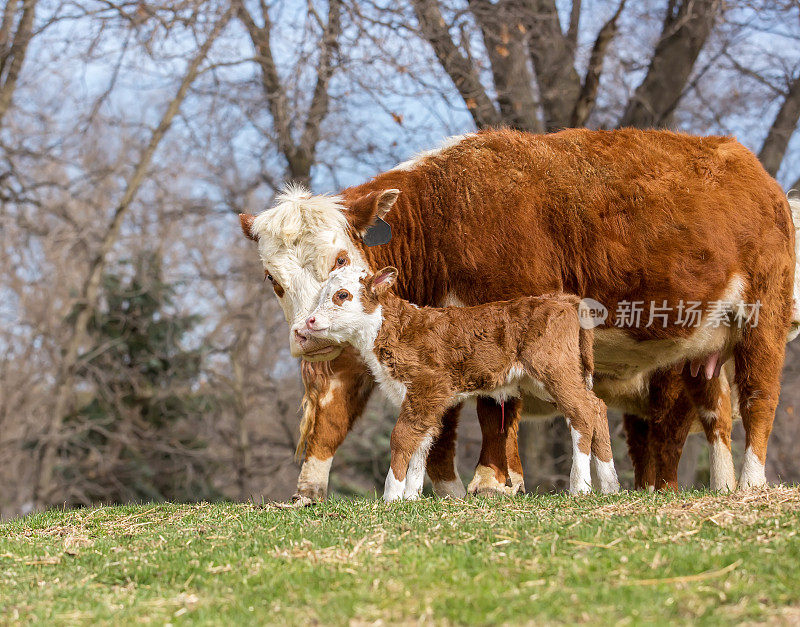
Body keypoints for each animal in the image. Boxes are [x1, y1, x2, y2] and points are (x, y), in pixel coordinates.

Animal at [300, 266, 620, 500]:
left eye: (342, 294)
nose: (311, 321)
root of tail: (563, 299)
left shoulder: (428, 388)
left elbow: (401, 437)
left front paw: (391, 496)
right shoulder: (421, 400)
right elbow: (422, 443)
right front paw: (411, 497)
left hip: (554, 370)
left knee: (582, 413)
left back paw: (580, 487)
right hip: (554, 377)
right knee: (597, 407)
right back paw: (610, 485)